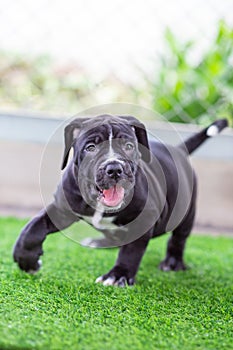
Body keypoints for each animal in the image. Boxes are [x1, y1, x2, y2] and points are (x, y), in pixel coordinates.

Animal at [13, 116, 228, 286]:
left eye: (129, 146)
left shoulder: (144, 218)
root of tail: (178, 150)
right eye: (91, 147)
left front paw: (119, 275)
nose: (114, 168)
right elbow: (33, 229)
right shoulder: (61, 208)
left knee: (178, 238)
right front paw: (27, 260)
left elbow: (131, 251)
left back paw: (172, 262)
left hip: (185, 209)